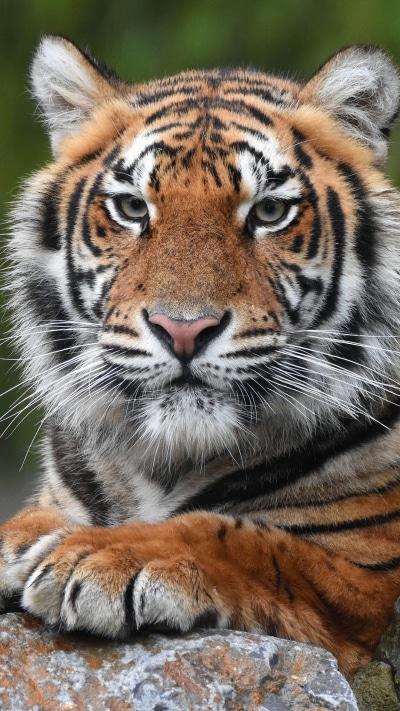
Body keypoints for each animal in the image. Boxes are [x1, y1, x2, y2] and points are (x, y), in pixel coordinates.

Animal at [1, 35, 400, 677]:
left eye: (269, 212)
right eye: (132, 208)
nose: (183, 329)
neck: (164, 459)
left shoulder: (359, 569)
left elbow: (238, 538)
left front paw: (95, 557)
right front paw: (25, 542)